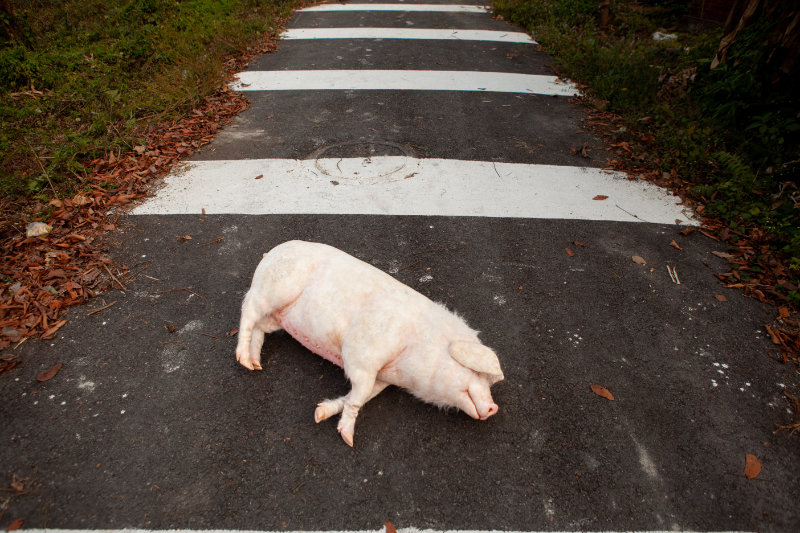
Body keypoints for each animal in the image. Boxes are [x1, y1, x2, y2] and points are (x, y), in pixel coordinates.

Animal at [235, 240, 503, 447]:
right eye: (477, 373)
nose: (494, 408)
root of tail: (271, 252)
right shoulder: (362, 356)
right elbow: (359, 393)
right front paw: (348, 440)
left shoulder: (384, 379)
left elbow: (361, 397)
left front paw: (320, 413)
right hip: (270, 291)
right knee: (247, 314)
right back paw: (245, 362)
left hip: (277, 317)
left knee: (259, 328)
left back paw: (257, 364)